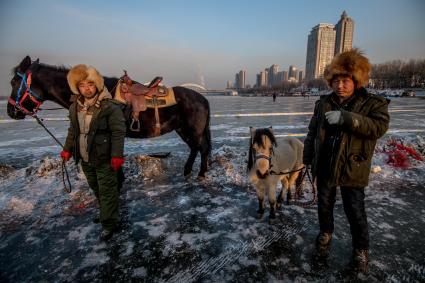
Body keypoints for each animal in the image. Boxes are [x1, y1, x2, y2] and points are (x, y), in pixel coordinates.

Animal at [6, 56, 212, 178]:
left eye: (14, 81)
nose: (11, 111)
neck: (99, 96)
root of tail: (203, 98)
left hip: (191, 130)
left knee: (199, 149)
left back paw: (195, 172)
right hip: (184, 129)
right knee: (199, 149)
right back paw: (194, 172)